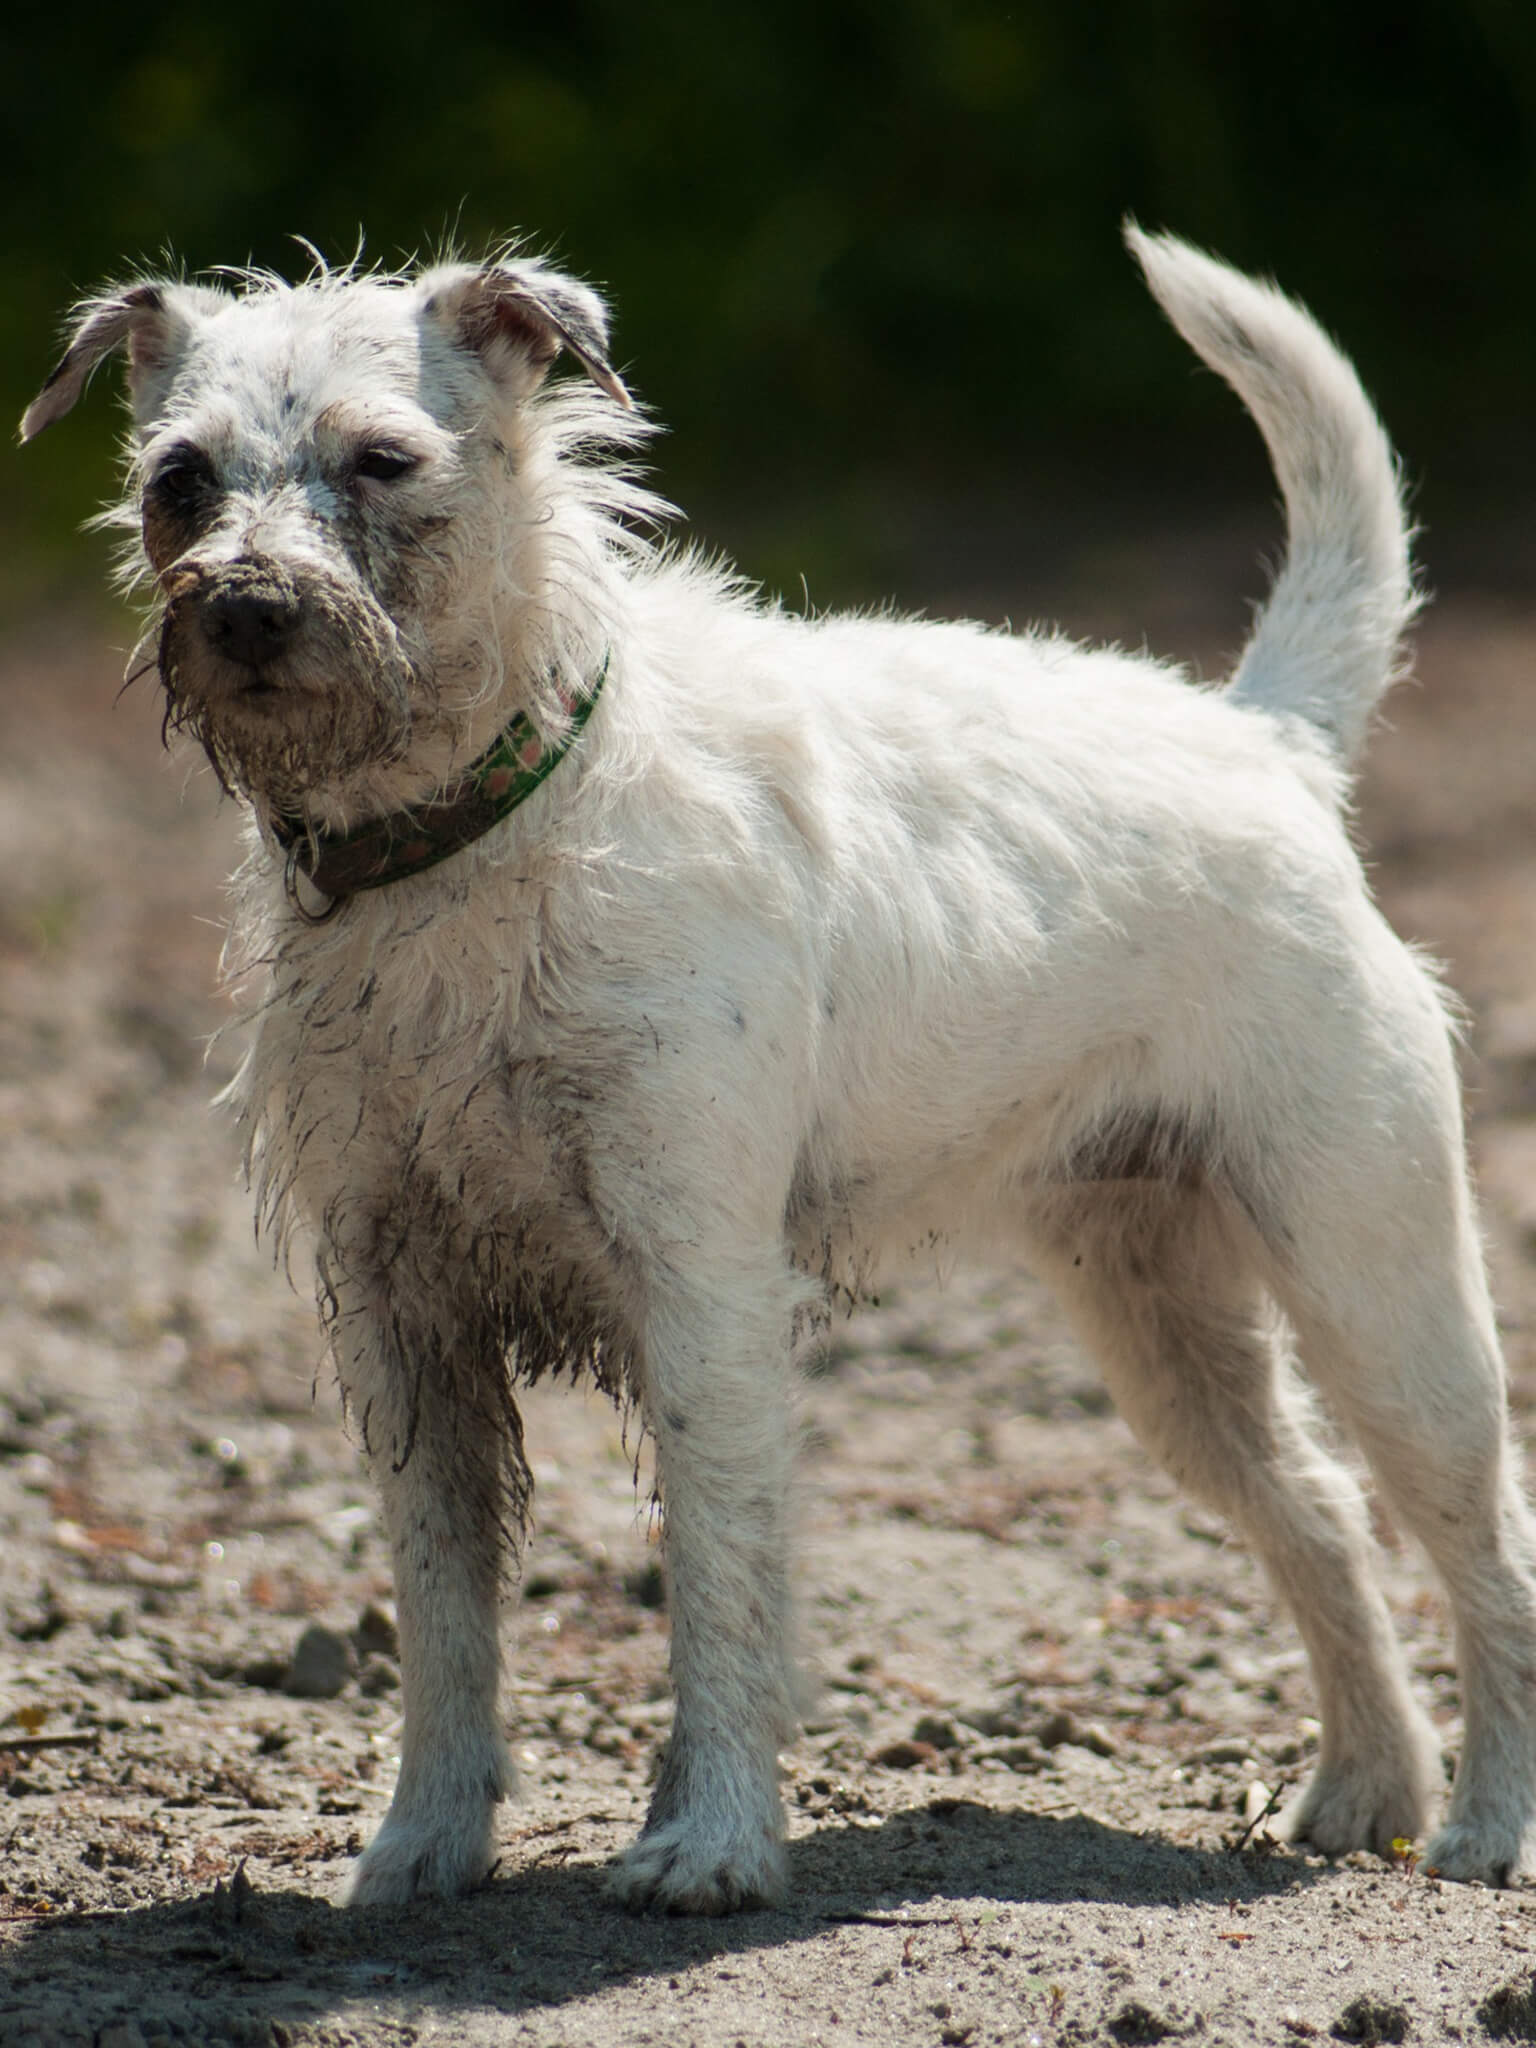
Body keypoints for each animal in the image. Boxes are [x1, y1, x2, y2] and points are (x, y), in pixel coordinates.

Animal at [20, 220, 1536, 1900]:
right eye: (178, 480)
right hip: (1168, 1332)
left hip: (1380, 1296)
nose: (244, 610)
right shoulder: (401, 1324)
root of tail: (1265, 741)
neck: (478, 836)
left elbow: (720, 1585)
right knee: (1321, 1514)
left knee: (1488, 1549)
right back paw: (1366, 1784)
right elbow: (445, 1620)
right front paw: (426, 1843)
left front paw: (715, 1841)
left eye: (383, 458)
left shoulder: (702, 1295)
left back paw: (1487, 1820)